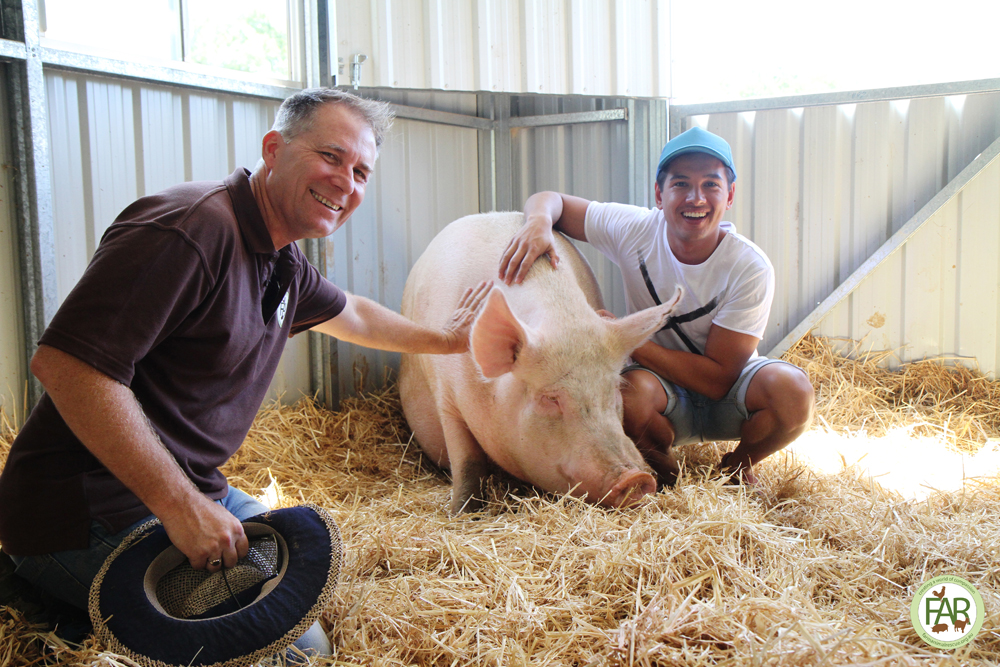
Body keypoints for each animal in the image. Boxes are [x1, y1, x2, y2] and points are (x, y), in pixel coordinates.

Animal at [398, 211, 680, 516]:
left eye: (615, 388)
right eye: (550, 398)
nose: (636, 478)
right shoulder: (446, 397)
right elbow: (467, 462)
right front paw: (460, 513)